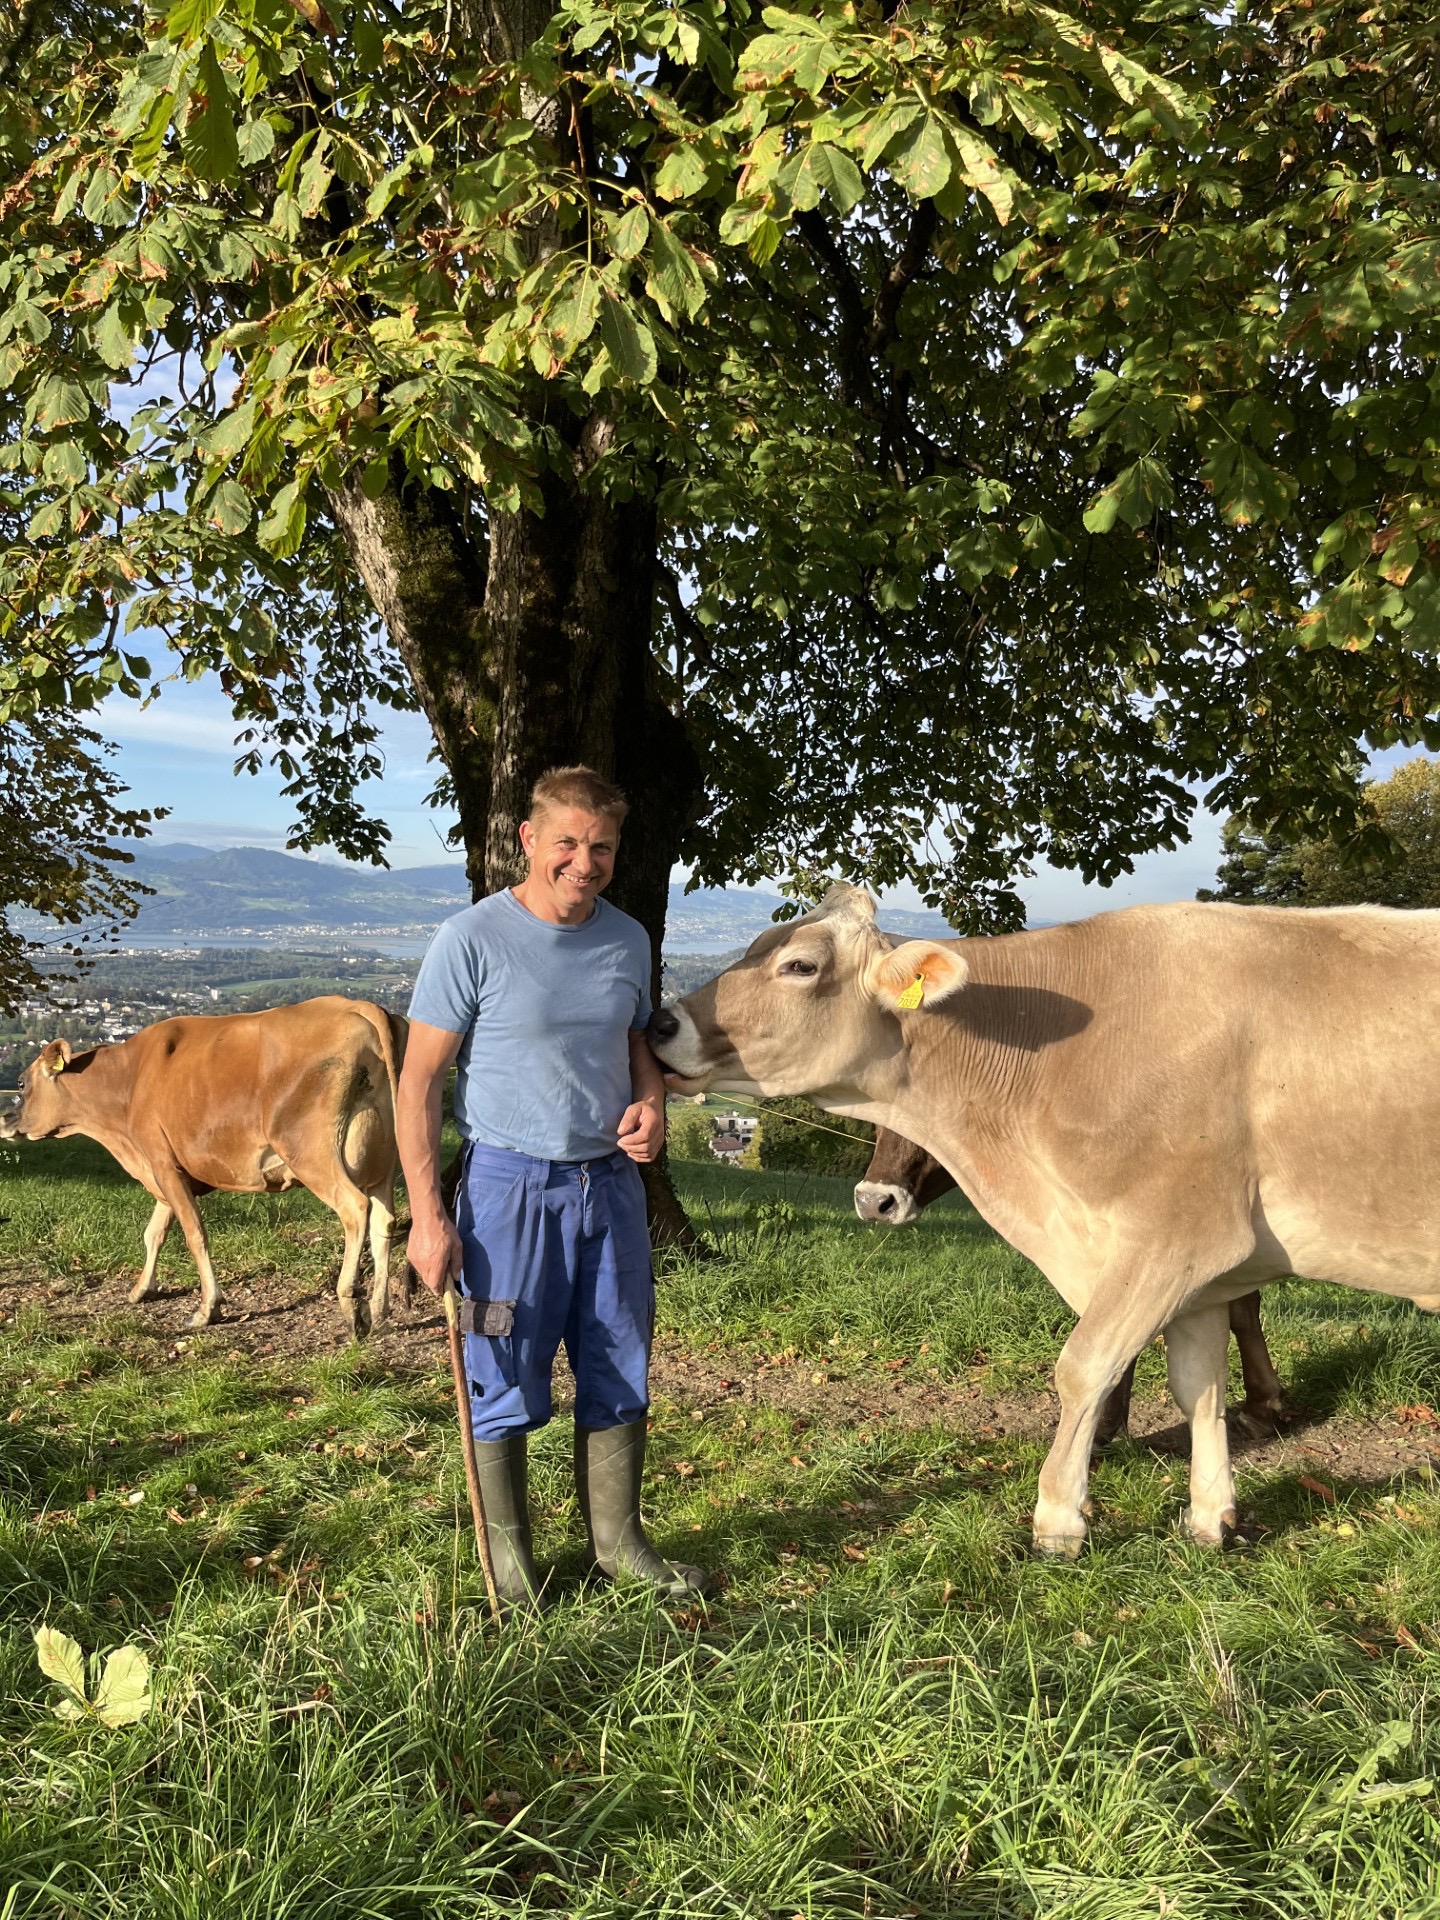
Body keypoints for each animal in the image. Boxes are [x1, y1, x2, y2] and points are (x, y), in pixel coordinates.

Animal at [0, 997, 406, 1337]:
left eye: (20, 1083)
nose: (4, 1119)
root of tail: (354, 1005)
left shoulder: (162, 1163)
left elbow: (194, 1234)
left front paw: (208, 1308)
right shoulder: (166, 1170)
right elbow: (154, 1233)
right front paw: (141, 1289)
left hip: (310, 1151)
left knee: (354, 1208)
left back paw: (351, 1305)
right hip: (384, 1159)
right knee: (384, 1221)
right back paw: (380, 1310)